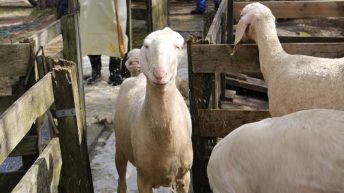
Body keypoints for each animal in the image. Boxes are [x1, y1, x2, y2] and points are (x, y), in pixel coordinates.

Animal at [113, 27, 192, 193]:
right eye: (146, 45)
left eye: (178, 46)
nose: (159, 74)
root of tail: (138, 77)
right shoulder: (143, 178)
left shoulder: (184, 176)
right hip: (120, 148)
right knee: (121, 181)